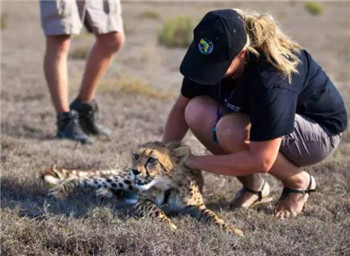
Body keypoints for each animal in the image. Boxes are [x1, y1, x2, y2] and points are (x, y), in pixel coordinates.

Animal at [41, 142, 243, 236]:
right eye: (136, 156)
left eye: (152, 160)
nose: (135, 170)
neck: (168, 185)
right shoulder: (142, 201)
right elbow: (156, 210)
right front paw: (169, 226)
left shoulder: (196, 206)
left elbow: (212, 215)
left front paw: (231, 228)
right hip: (124, 181)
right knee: (82, 179)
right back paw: (59, 191)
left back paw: (104, 193)